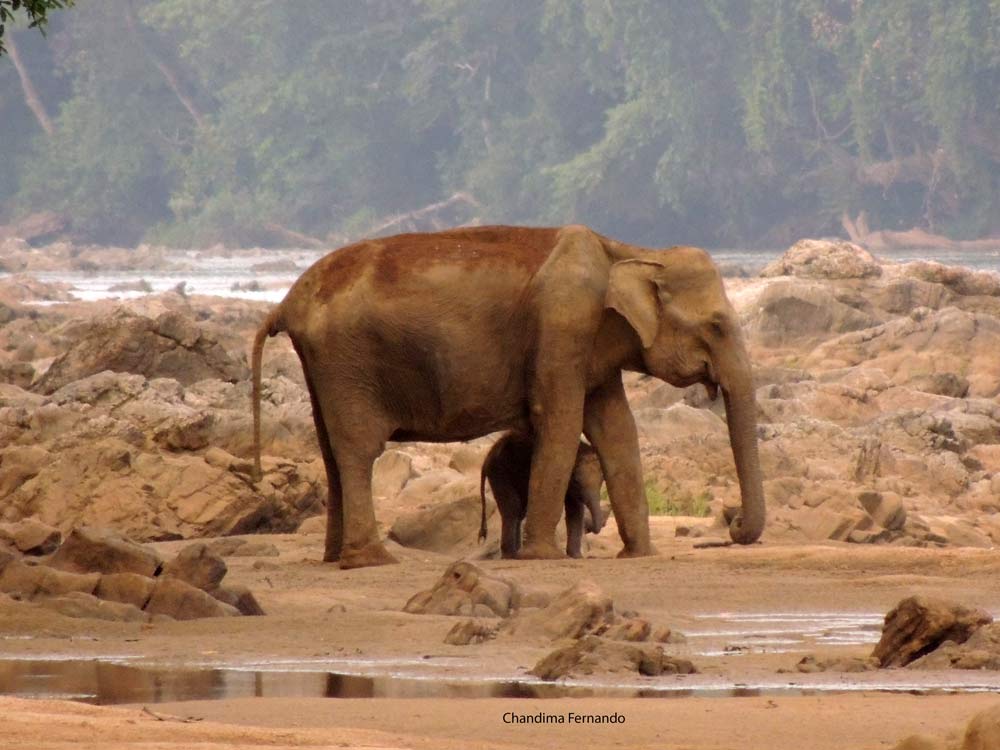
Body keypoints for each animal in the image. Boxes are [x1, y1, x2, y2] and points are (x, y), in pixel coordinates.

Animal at [478, 432, 604, 560]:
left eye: (601, 481)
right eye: (577, 481)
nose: (595, 528)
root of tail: (487, 458)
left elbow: (575, 511)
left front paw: (576, 557)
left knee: (520, 511)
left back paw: (516, 553)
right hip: (500, 473)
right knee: (512, 508)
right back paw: (510, 555)